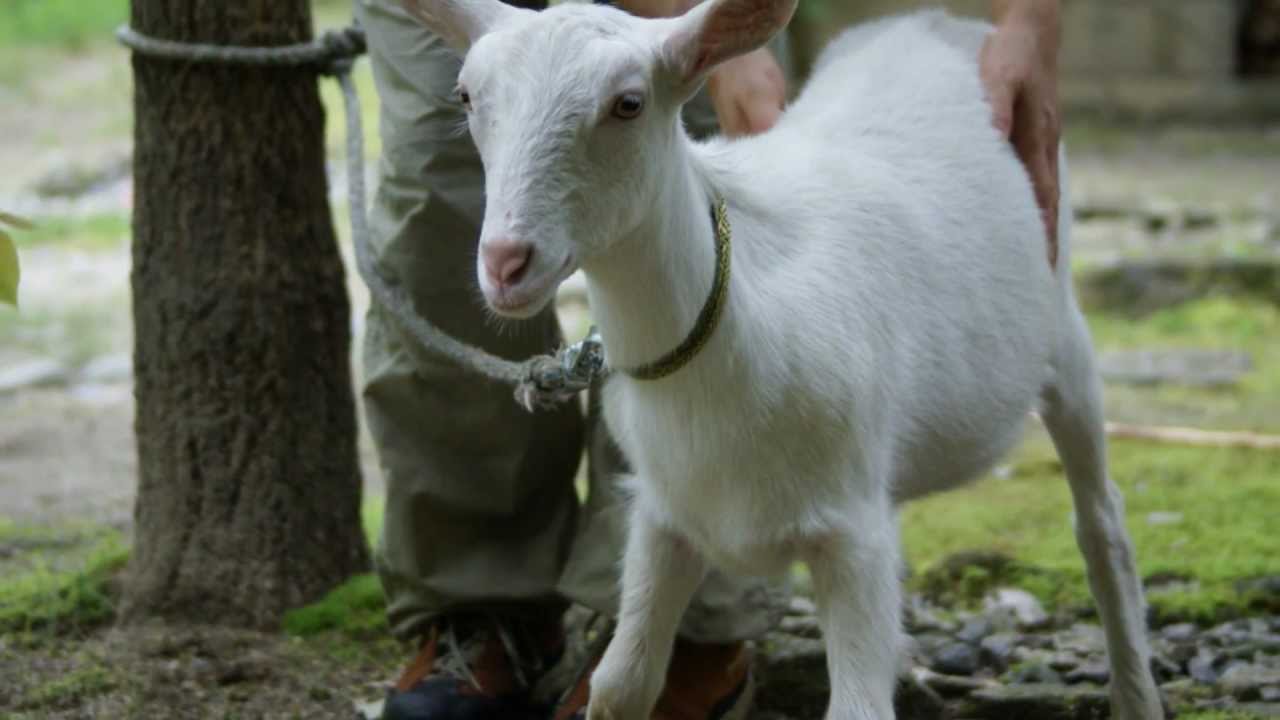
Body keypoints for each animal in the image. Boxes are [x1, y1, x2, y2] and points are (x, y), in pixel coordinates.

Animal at [404, 0, 1167, 712]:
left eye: (628, 103)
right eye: (466, 96)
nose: (506, 262)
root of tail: (930, 21)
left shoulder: (850, 533)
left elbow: (858, 708)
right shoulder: (665, 514)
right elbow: (622, 683)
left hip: (1066, 334)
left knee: (1103, 525)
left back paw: (1134, 692)